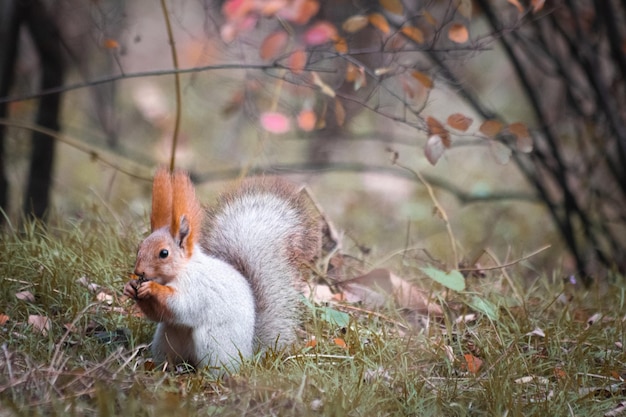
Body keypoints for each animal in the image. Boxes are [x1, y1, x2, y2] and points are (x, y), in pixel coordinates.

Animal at [122, 167, 320, 372]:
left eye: (164, 253)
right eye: (140, 246)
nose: (139, 272)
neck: (180, 271)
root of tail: (248, 354)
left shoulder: (197, 288)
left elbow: (181, 305)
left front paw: (152, 289)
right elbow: (158, 315)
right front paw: (130, 287)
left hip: (212, 341)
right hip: (166, 336)